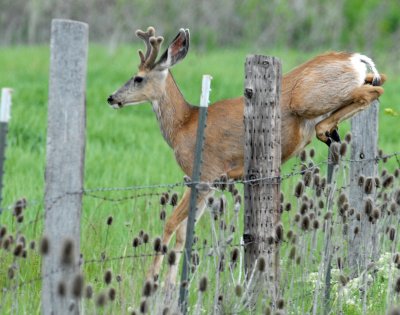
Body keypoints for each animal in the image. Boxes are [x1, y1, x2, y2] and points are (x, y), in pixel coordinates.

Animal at [106, 26, 384, 284]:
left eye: (138, 78)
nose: (111, 97)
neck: (183, 125)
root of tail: (355, 58)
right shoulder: (205, 182)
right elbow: (185, 232)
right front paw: (171, 285)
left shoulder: (205, 173)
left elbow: (172, 223)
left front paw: (152, 280)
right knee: (377, 81)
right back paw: (330, 129)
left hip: (309, 97)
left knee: (371, 91)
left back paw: (326, 129)